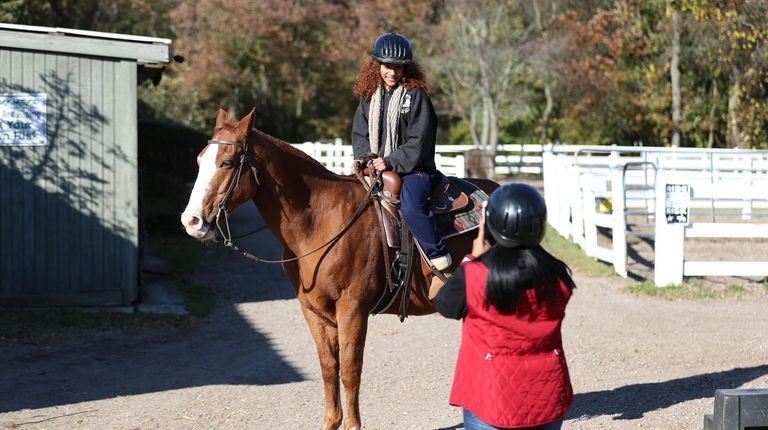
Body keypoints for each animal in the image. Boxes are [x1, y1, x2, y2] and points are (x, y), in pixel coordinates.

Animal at [183, 109, 500, 430]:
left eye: (227, 162)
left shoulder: (352, 308)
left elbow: (349, 369)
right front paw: (332, 421)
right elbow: (328, 368)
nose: (191, 221)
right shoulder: (313, 311)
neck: (321, 222)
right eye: (199, 160)